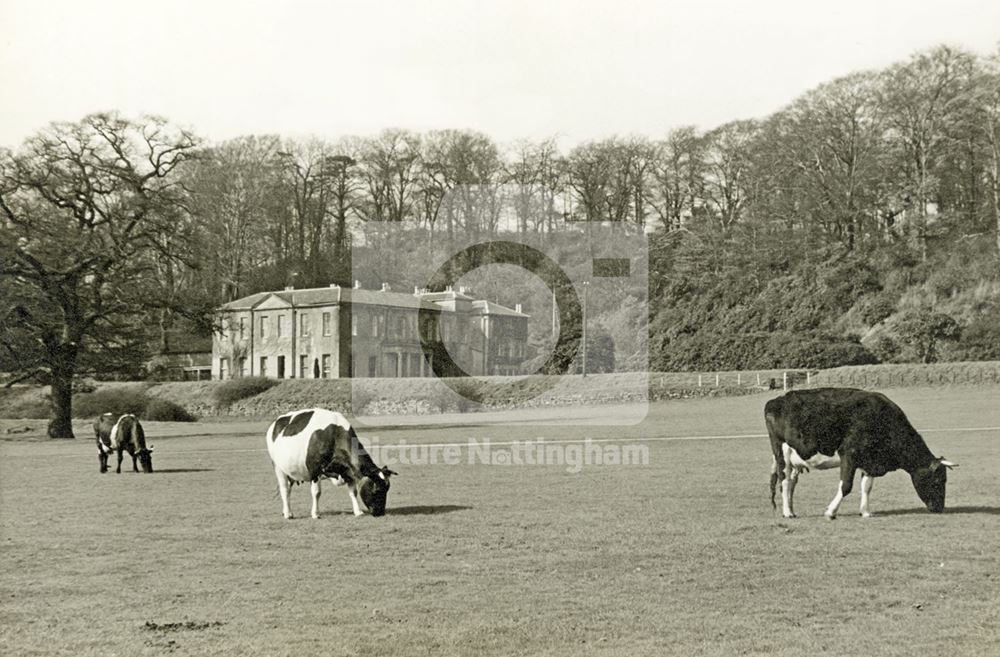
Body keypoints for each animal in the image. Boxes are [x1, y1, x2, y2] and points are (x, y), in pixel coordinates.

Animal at [266, 408, 398, 520]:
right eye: (377, 490)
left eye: (387, 489)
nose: (380, 513)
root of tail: (275, 423)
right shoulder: (314, 470)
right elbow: (316, 492)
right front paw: (315, 514)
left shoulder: (348, 471)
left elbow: (353, 492)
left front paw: (358, 512)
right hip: (278, 468)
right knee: (284, 489)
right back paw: (288, 514)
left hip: (289, 471)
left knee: (288, 490)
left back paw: (287, 511)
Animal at [764, 386, 952, 520]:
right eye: (938, 480)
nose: (939, 508)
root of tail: (776, 401)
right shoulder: (849, 454)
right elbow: (846, 486)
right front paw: (831, 511)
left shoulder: (870, 461)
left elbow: (866, 487)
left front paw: (866, 512)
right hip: (781, 452)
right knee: (784, 481)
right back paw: (787, 512)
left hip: (795, 458)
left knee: (792, 483)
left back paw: (791, 509)